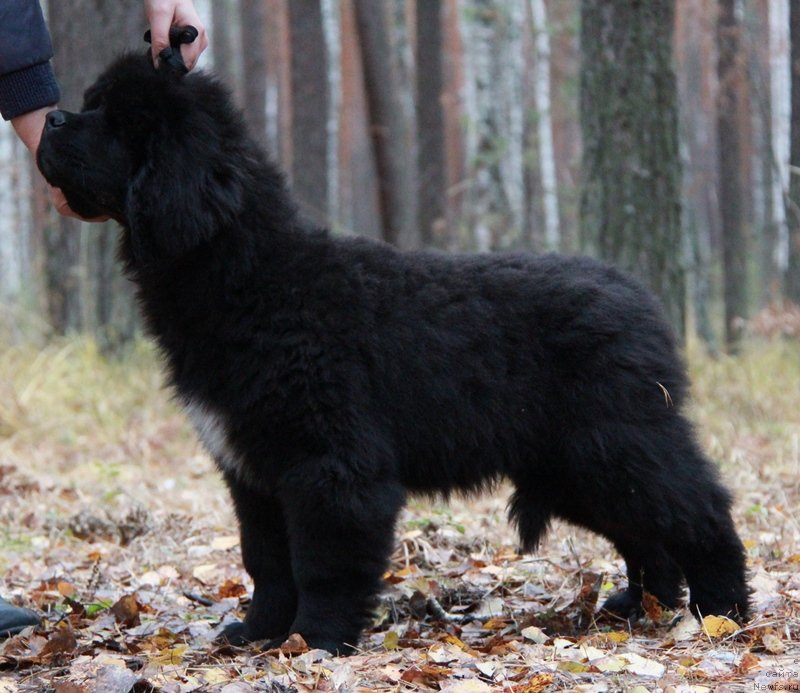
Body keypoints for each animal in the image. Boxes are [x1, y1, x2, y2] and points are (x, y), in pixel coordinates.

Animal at [37, 51, 752, 652]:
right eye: (92, 103)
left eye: (122, 122)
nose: (50, 117)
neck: (252, 278)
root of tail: (639, 295)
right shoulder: (254, 471)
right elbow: (266, 561)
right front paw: (257, 635)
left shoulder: (331, 466)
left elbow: (321, 566)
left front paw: (315, 642)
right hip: (576, 463)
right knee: (647, 531)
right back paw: (640, 606)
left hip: (614, 441)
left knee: (699, 510)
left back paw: (722, 614)